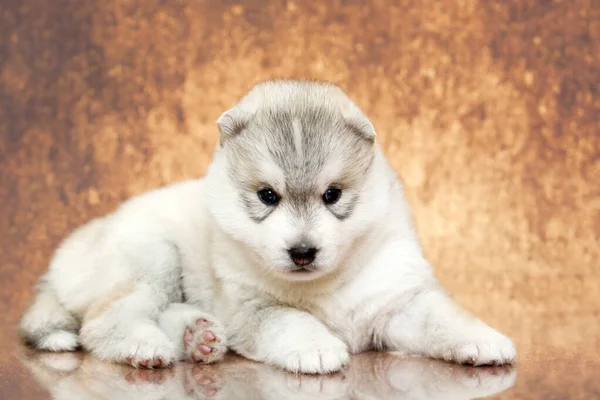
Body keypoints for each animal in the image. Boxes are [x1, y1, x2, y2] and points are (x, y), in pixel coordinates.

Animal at [18, 79, 516, 374]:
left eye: (332, 195)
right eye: (267, 196)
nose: (302, 252)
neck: (326, 286)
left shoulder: (396, 302)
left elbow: (444, 318)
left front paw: (483, 340)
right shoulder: (252, 307)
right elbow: (289, 319)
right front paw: (316, 347)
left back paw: (198, 337)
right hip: (151, 257)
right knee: (105, 321)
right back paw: (147, 346)